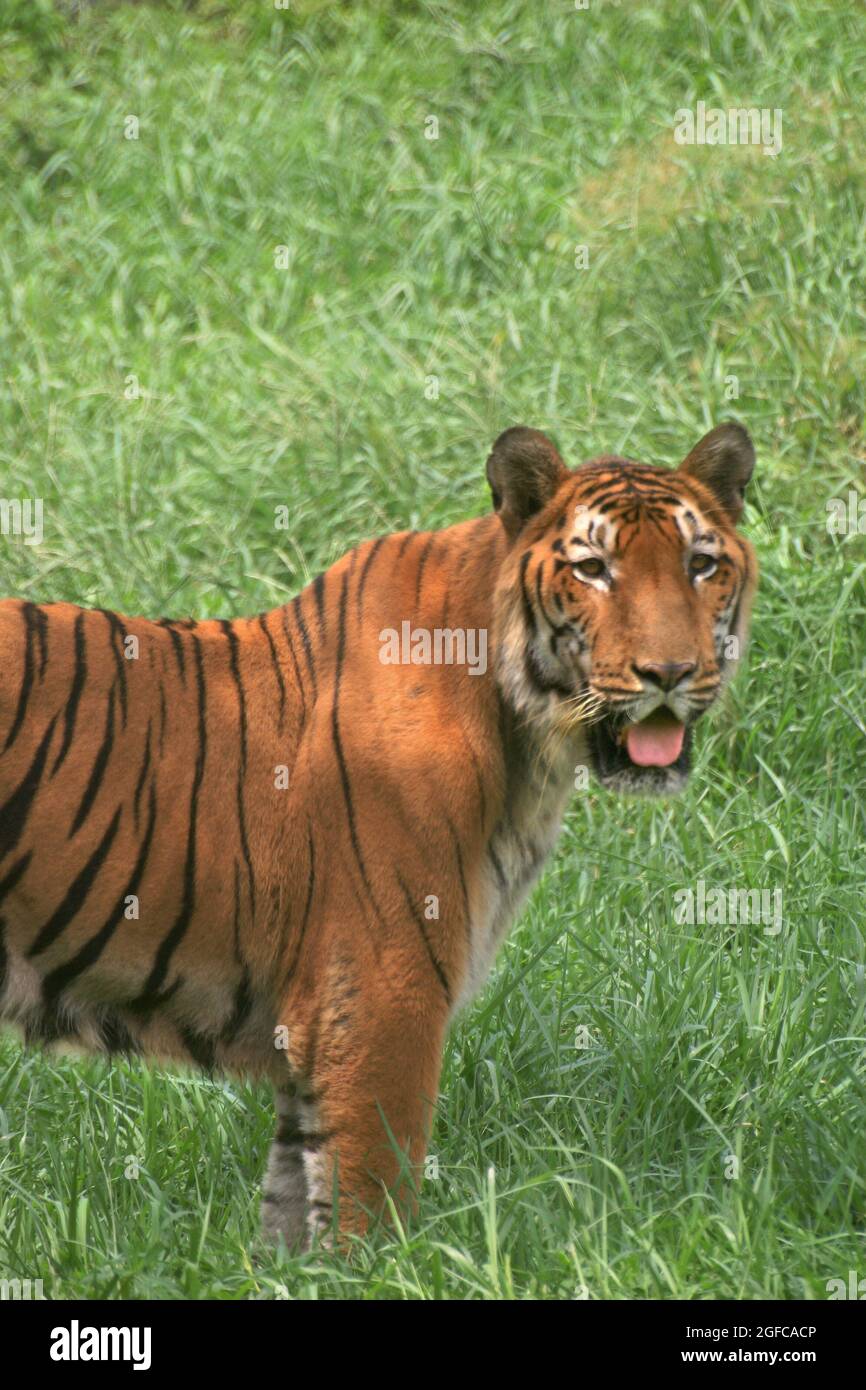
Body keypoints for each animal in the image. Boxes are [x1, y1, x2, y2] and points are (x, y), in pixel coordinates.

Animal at [0, 419, 756, 1251]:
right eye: (593, 569)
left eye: (700, 564)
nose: (670, 672)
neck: (525, 735)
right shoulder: (384, 999)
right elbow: (373, 1201)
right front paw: (393, 1264)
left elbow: (294, 1214)